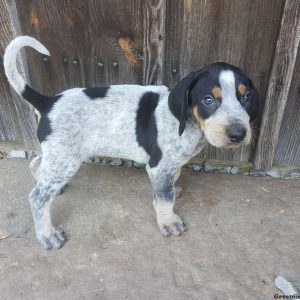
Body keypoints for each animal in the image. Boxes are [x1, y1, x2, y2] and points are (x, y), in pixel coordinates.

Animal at [3, 36, 258, 250]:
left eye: (247, 97)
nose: (238, 134)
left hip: (57, 154)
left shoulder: (169, 167)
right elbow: (164, 198)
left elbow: (169, 186)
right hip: (65, 159)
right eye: (208, 100)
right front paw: (168, 221)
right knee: (37, 197)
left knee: (36, 166)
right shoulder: (158, 166)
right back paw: (47, 234)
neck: (188, 123)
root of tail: (49, 101)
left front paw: (173, 189)